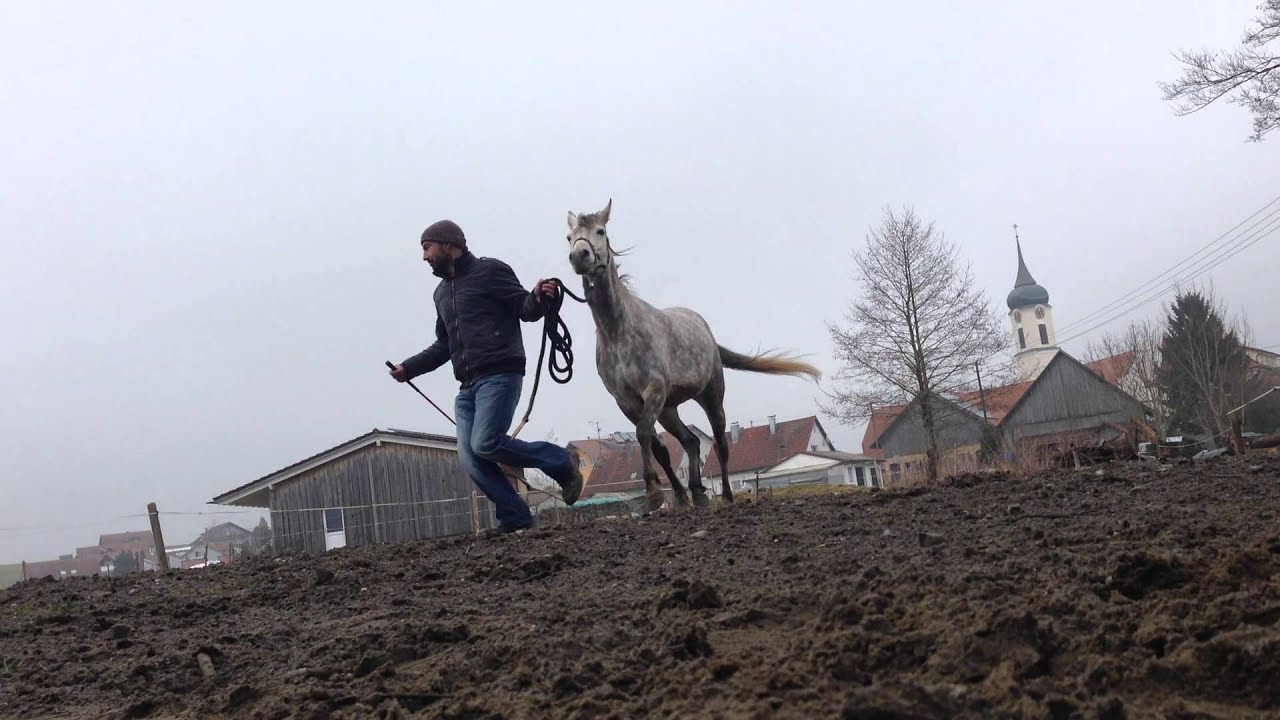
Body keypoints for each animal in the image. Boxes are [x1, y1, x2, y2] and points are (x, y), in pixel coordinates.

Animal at [565, 199, 822, 512]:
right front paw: (677, 496)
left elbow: (643, 434)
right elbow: (658, 447)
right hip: (668, 409)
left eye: (600, 231)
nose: (580, 256)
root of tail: (706, 331)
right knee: (691, 442)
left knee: (720, 443)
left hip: (711, 395)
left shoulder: (654, 390)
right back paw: (698, 492)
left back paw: (726, 495)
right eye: (569, 236)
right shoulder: (626, 401)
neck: (619, 330)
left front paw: (654, 492)